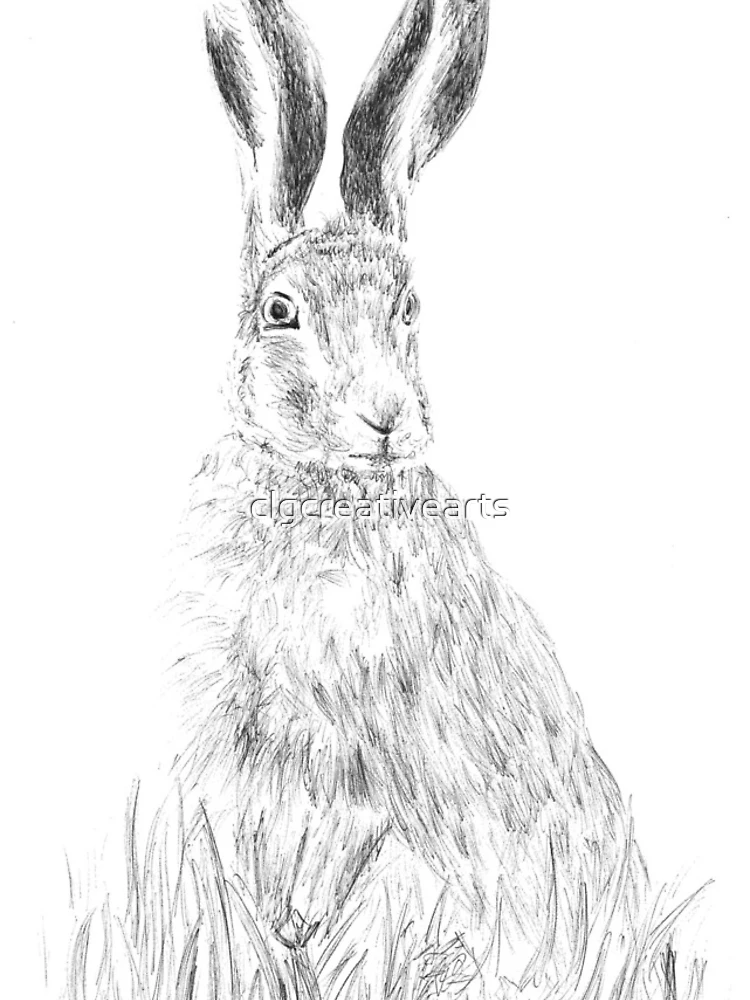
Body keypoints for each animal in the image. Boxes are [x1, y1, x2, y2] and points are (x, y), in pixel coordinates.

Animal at [172, 1, 651, 996]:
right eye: (280, 312)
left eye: (409, 309)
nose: (386, 417)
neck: (325, 492)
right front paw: (275, 937)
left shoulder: (359, 760)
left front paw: (295, 934)